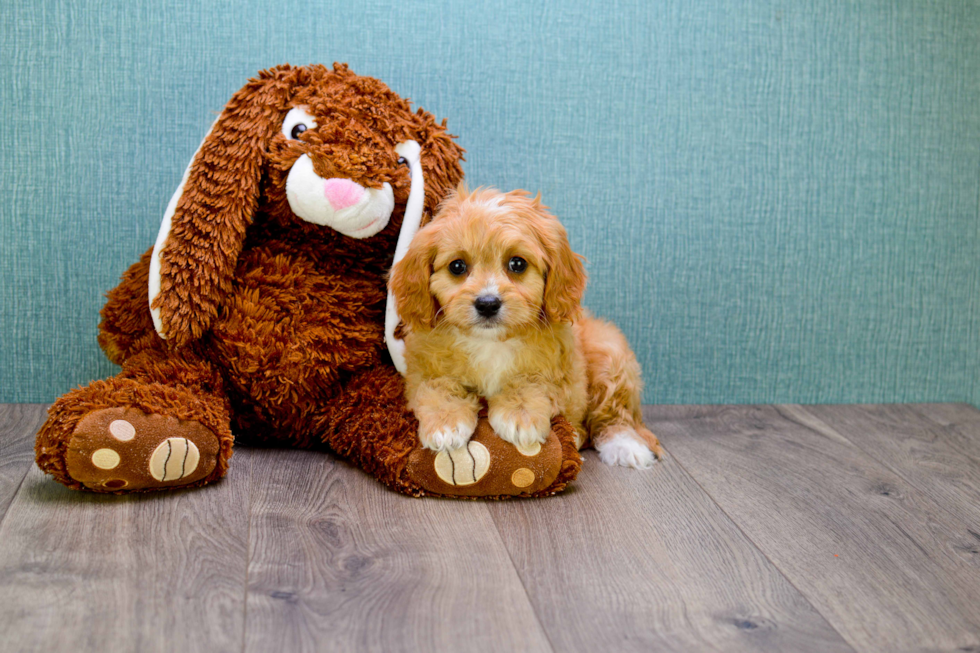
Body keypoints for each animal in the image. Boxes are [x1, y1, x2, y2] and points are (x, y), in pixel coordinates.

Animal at [386, 186, 664, 466]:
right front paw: (445, 423)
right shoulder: (423, 369)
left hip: (609, 354)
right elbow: (437, 387)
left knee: (614, 415)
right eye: (457, 266)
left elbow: (531, 381)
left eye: (517, 264)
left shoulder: (559, 369)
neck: (490, 342)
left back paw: (624, 446)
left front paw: (520, 415)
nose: (488, 303)